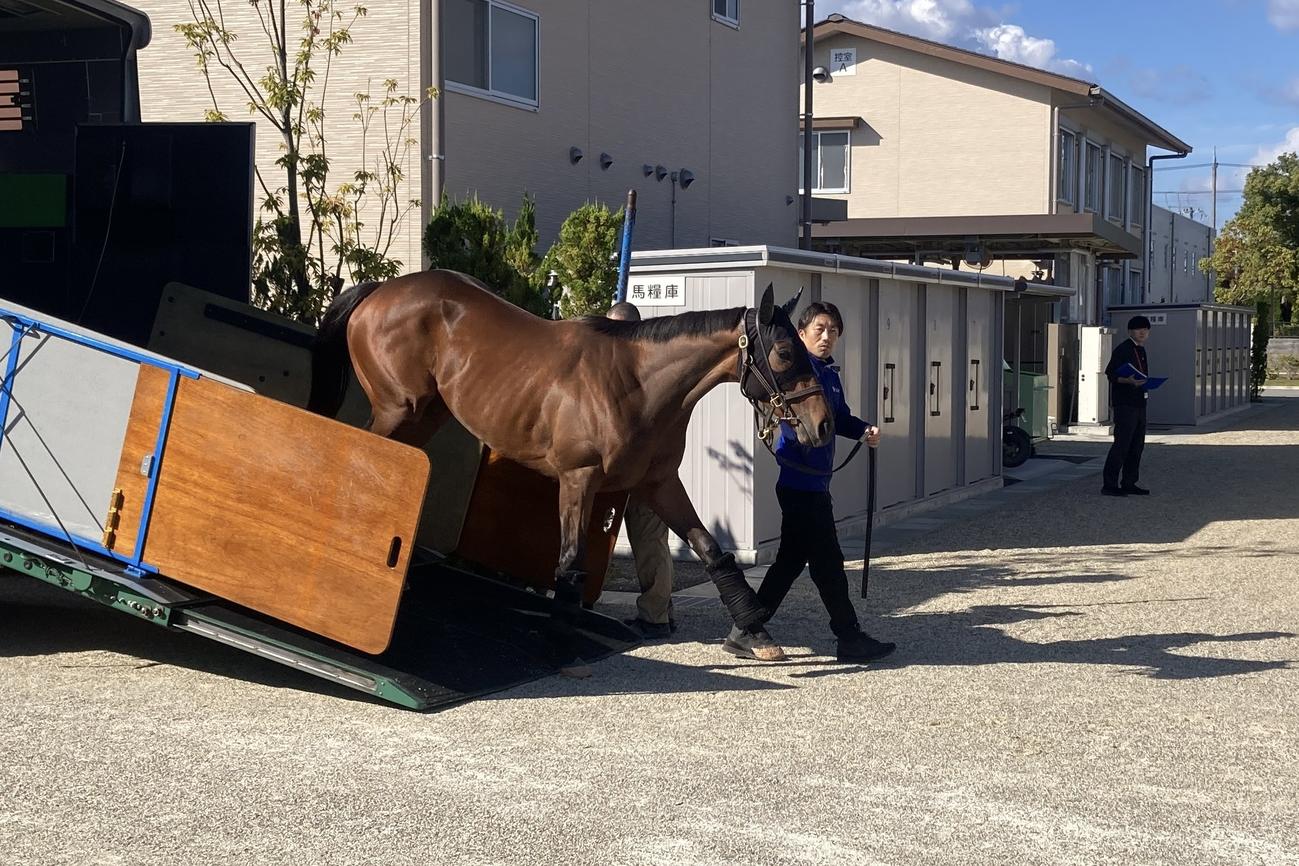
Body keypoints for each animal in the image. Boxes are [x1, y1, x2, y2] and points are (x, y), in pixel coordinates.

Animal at [307, 269, 834, 665]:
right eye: (784, 353)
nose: (823, 424)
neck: (637, 383)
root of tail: (382, 290)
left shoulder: (658, 483)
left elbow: (711, 550)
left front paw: (755, 632)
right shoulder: (579, 479)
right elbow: (570, 559)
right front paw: (562, 636)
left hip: (426, 414)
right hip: (397, 410)